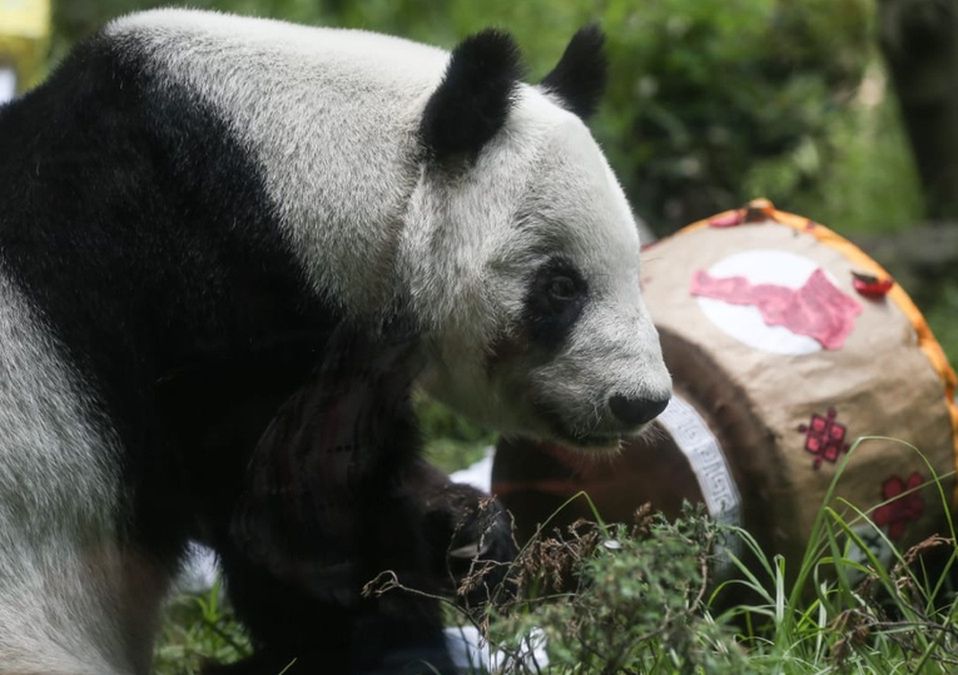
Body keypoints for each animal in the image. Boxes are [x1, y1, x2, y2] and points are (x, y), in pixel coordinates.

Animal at [0, 8, 672, 675]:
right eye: (561, 287)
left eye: (634, 262)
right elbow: (292, 519)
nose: (641, 400)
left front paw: (475, 537)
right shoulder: (203, 302)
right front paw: (397, 629)